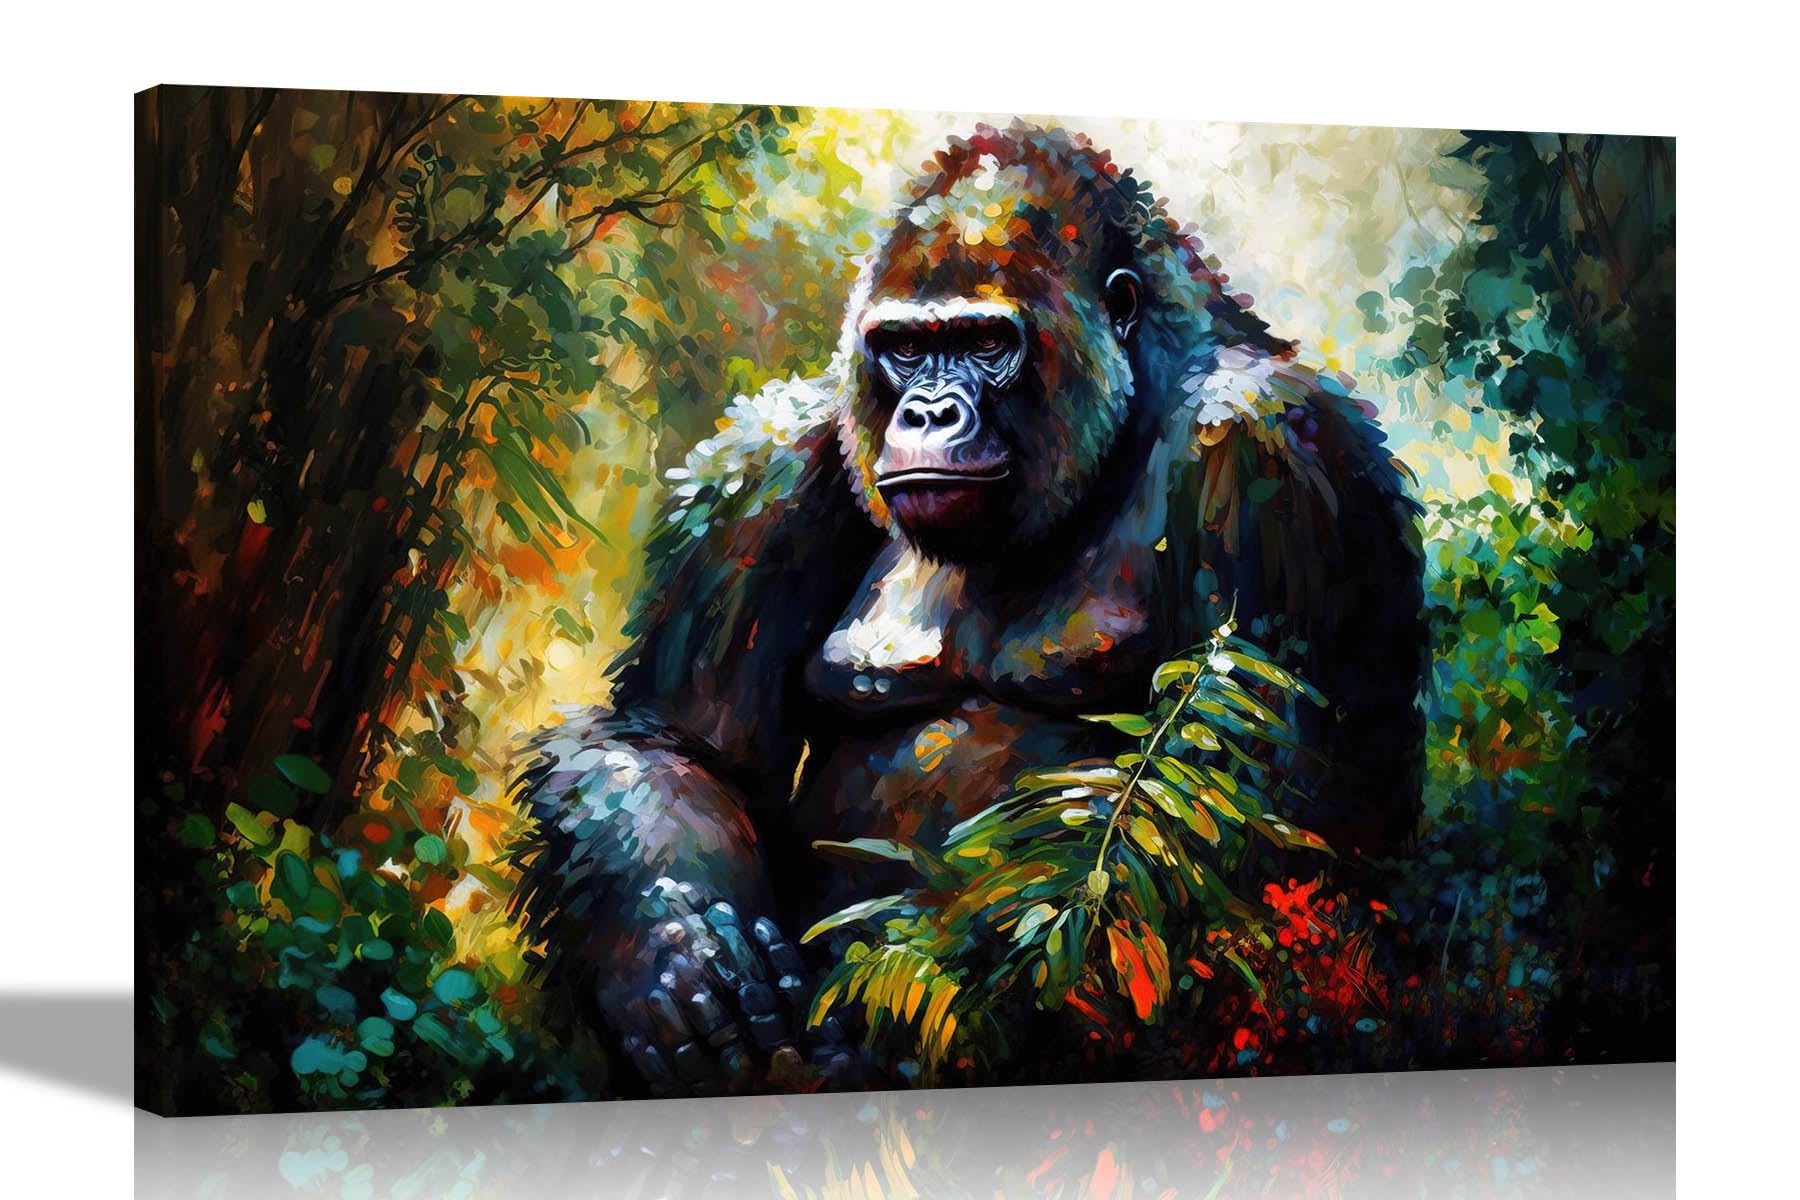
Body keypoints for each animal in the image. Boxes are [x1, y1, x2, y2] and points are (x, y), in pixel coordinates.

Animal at [507, 123, 1426, 1097]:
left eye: (987, 341)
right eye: (906, 348)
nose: (927, 413)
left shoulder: (1269, 448)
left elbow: (1267, 831)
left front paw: (896, 1008)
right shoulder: (765, 464)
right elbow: (677, 744)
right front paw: (667, 951)